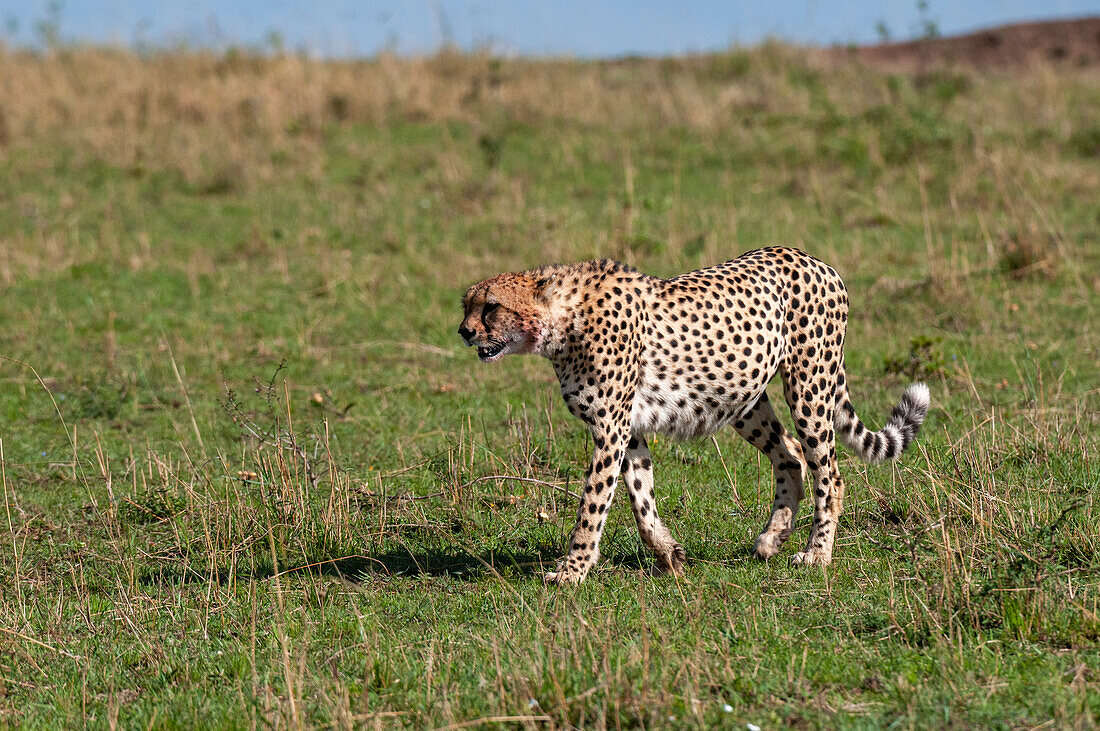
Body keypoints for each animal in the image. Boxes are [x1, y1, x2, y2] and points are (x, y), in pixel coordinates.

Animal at [455, 248, 928, 584]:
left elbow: (593, 505)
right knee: (790, 456)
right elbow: (640, 498)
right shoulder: (629, 428)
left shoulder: (611, 427)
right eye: (467, 306)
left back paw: (817, 554)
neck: (561, 320)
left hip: (808, 386)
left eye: (491, 306)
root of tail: (815, 259)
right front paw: (669, 555)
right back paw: (771, 539)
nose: (463, 331)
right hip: (742, 396)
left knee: (830, 474)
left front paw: (571, 572)